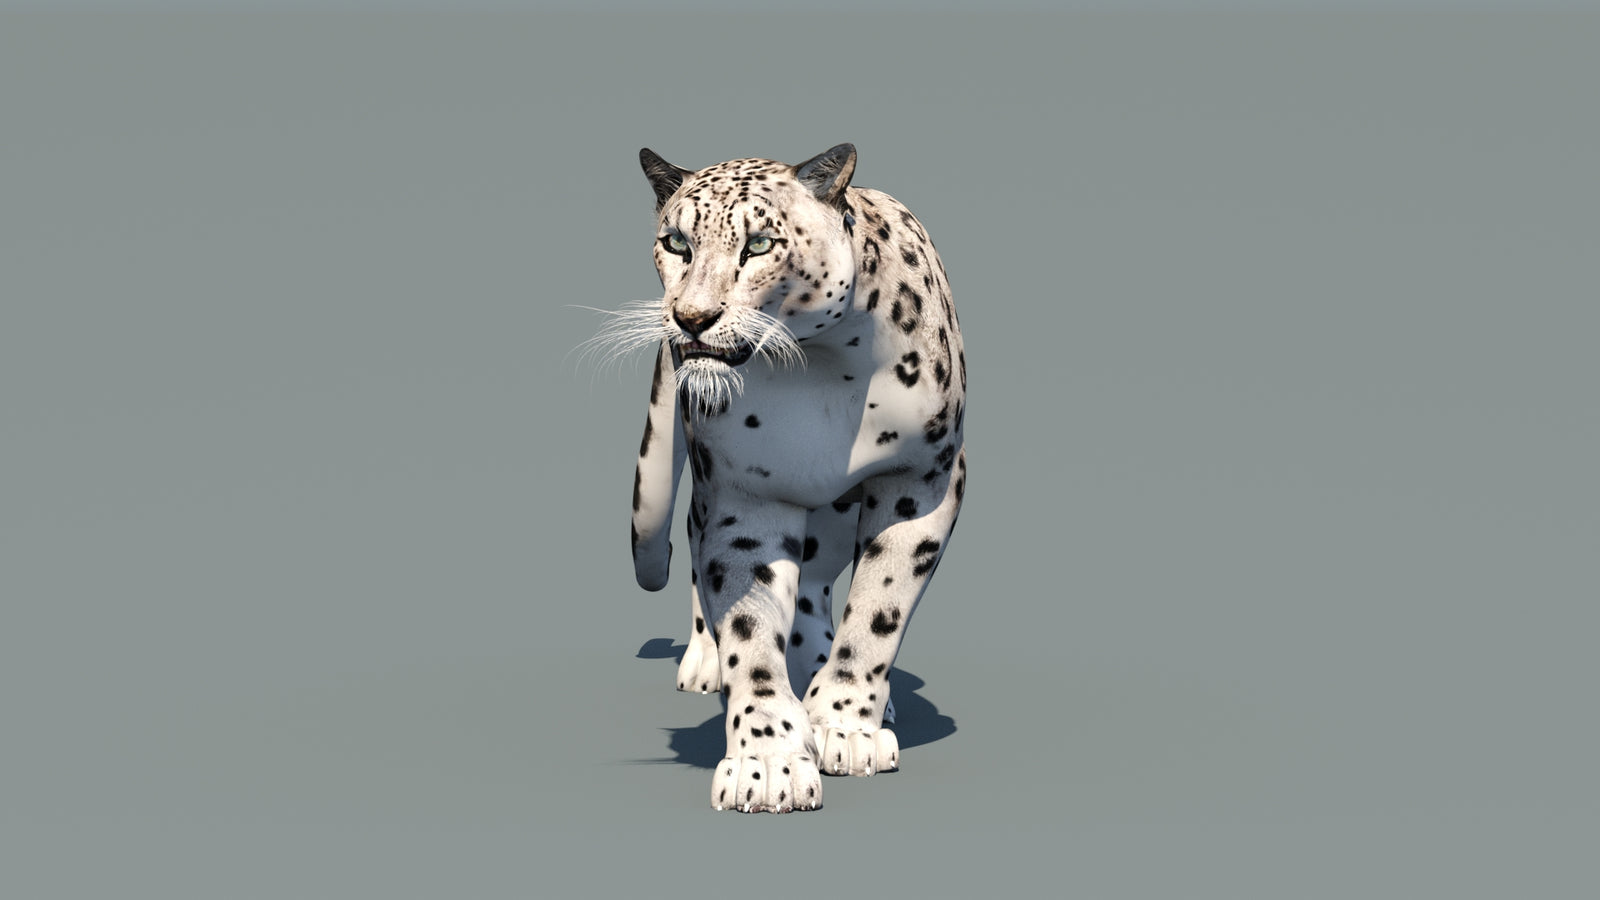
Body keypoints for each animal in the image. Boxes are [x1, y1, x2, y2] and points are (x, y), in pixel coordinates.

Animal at [598, 144, 965, 812]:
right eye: (676, 242)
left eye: (760, 244)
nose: (691, 318)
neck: (820, 373)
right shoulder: (746, 495)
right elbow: (749, 626)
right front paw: (767, 762)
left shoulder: (921, 481)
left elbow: (879, 606)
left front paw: (844, 723)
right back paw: (708, 660)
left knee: (819, 584)